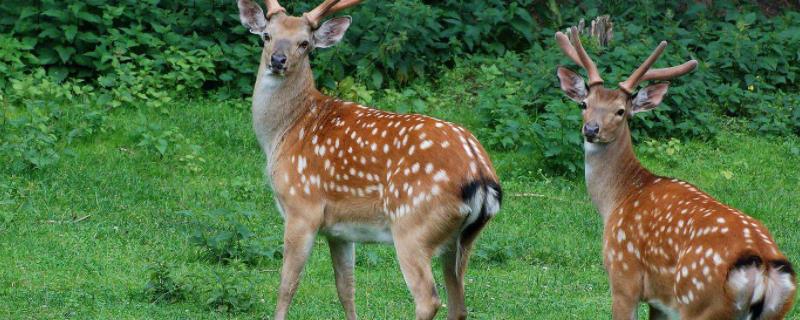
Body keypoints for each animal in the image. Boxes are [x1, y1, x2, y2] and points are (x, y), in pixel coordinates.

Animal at [234, 1, 504, 318]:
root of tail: (482, 176)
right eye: (266, 35)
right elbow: (345, 288)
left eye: (305, 43)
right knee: (459, 303)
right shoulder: (339, 229)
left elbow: (287, 286)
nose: (278, 60)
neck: (284, 132)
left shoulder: (302, 207)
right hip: (461, 240)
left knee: (429, 298)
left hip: (413, 227)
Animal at [552, 26, 796, 318]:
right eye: (584, 104)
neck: (617, 199)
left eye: (621, 111)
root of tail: (764, 270)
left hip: (699, 302)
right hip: (775, 310)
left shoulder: (623, 275)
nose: (591, 129)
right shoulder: (660, 301)